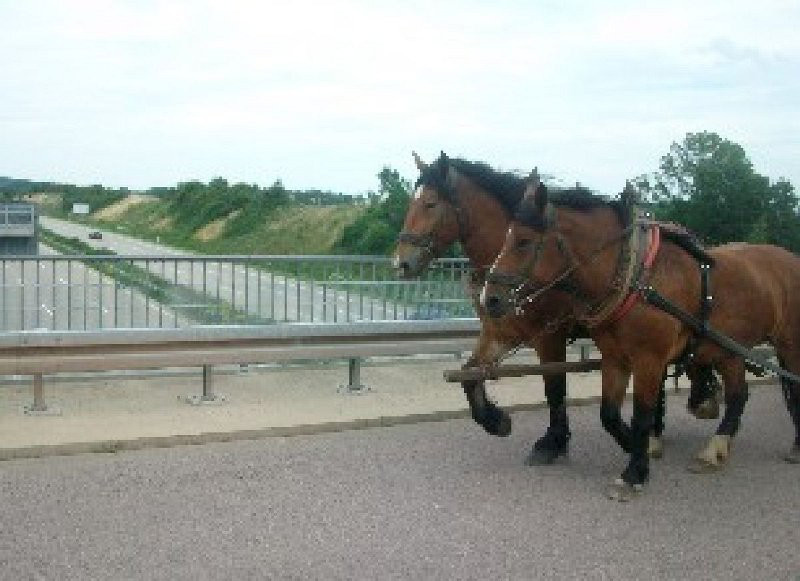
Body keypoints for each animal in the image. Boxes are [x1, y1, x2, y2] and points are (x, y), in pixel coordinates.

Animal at [393, 152, 718, 464]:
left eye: (430, 203)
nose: (400, 263)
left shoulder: (548, 335)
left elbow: (554, 386)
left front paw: (554, 441)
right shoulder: (501, 332)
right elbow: (470, 375)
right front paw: (496, 421)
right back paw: (656, 430)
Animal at [481, 173, 800, 500]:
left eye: (523, 241)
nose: (489, 299)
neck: (637, 277)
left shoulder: (650, 359)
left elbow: (642, 414)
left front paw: (634, 471)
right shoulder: (615, 358)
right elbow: (609, 414)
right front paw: (637, 447)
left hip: (789, 344)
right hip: (728, 348)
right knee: (738, 395)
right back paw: (715, 450)